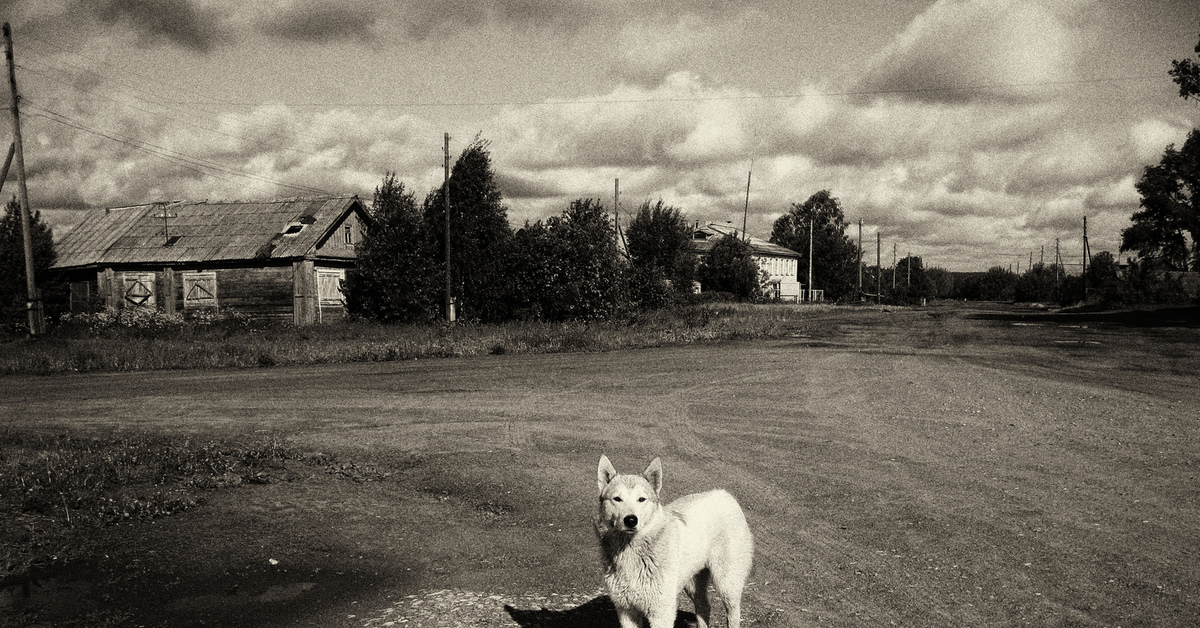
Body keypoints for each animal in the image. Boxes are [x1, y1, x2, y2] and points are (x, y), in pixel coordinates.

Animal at [595, 456, 753, 628]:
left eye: (641, 499)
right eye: (617, 499)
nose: (631, 520)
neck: (631, 551)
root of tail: (726, 494)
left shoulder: (661, 612)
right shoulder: (626, 611)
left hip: (727, 585)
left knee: (733, 613)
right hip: (692, 584)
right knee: (704, 606)